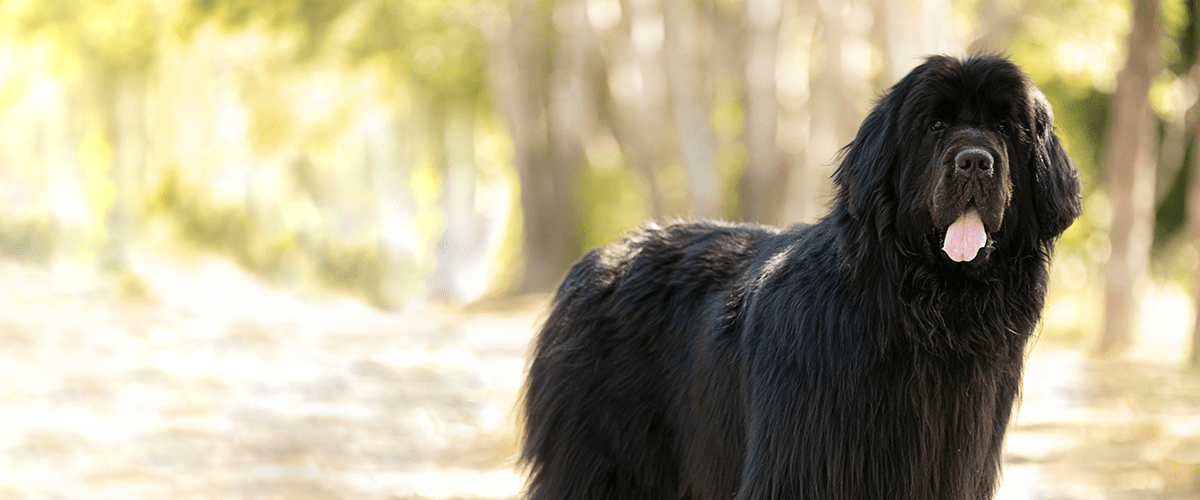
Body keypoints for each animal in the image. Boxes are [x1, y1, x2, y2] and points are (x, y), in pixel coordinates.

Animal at [520, 53, 1084, 498]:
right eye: (934, 127)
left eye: (1006, 129)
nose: (975, 162)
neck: (916, 312)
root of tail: (595, 261)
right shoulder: (804, 464)